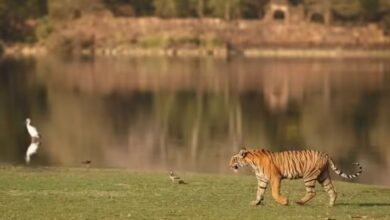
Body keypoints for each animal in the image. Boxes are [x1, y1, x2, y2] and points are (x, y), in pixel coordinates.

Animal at [229, 148, 362, 206]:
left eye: (234, 158)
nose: (229, 165)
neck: (251, 162)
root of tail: (325, 154)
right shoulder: (262, 180)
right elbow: (259, 192)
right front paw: (256, 202)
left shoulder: (275, 177)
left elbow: (274, 192)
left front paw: (284, 201)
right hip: (323, 176)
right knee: (332, 190)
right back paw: (330, 204)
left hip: (309, 176)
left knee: (312, 192)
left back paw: (299, 202)